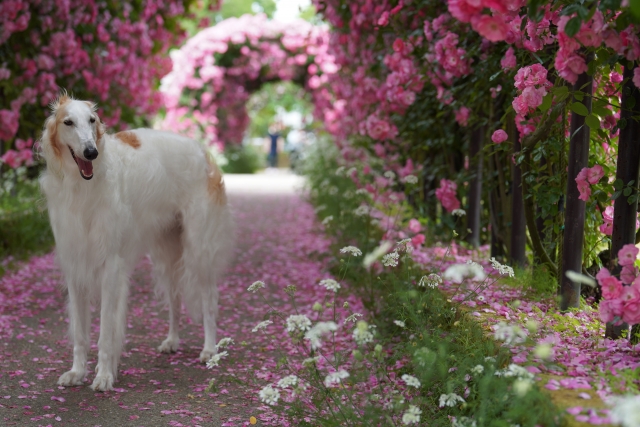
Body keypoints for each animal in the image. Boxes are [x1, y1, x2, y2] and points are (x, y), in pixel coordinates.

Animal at [37, 93, 234, 392]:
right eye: (68, 122)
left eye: (92, 120)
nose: (91, 152)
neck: (82, 188)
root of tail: (201, 151)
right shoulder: (75, 265)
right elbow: (80, 334)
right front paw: (77, 372)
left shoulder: (110, 266)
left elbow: (106, 333)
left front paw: (104, 376)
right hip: (166, 253)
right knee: (175, 299)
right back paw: (172, 341)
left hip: (199, 248)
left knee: (209, 299)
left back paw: (210, 349)